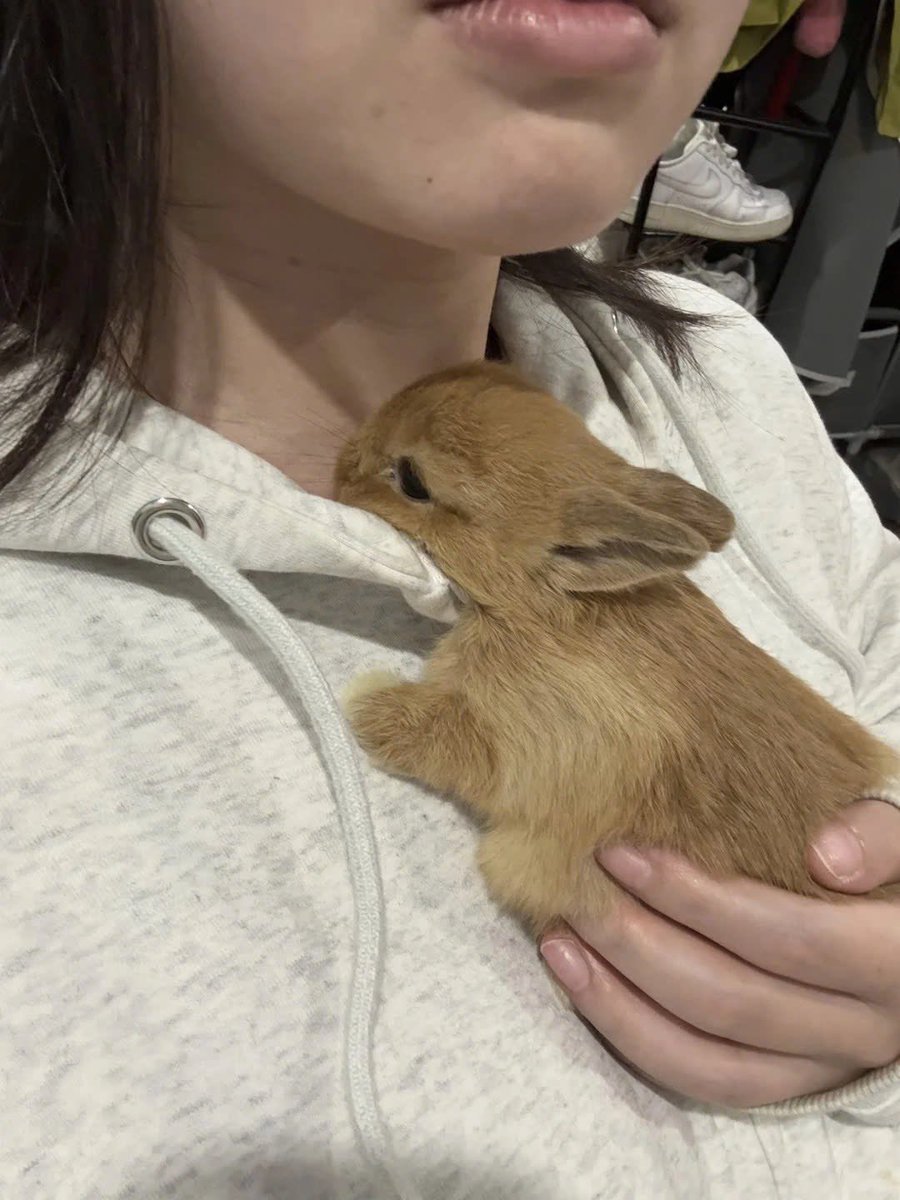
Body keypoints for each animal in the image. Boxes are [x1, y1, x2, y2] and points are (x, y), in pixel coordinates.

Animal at [335, 361, 900, 935]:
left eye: (412, 481)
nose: (342, 463)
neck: (546, 605)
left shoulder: (541, 745)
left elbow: (445, 738)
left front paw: (364, 699)